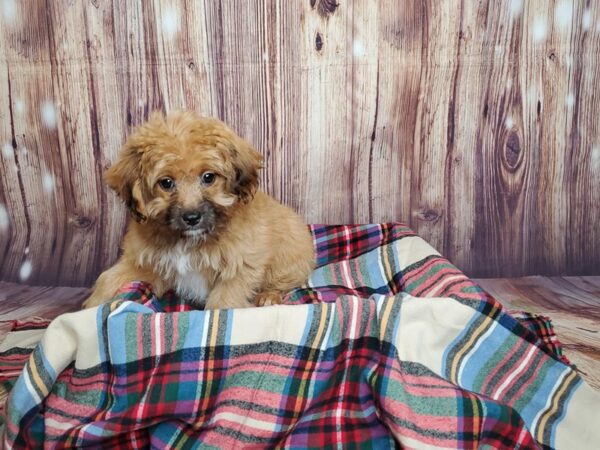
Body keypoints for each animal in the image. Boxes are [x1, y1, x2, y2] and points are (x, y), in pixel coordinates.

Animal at [82, 110, 316, 312]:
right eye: (166, 183)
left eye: (208, 177)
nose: (192, 217)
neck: (189, 240)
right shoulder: (146, 262)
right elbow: (109, 279)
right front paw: (91, 307)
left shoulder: (239, 267)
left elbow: (223, 303)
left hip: (289, 258)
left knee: (285, 281)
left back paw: (269, 296)